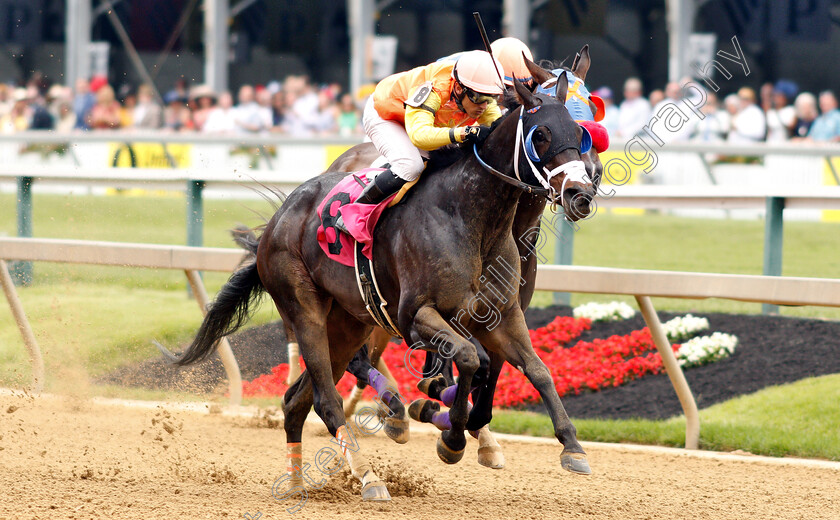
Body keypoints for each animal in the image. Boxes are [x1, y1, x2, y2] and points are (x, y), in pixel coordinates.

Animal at [158, 75, 592, 502]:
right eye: (540, 134)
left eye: (581, 133)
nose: (581, 194)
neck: (469, 218)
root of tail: (279, 219)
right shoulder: (417, 317)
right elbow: (470, 359)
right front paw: (451, 438)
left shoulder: (502, 315)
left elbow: (537, 370)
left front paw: (571, 447)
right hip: (305, 310)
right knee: (326, 399)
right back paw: (368, 476)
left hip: (348, 324)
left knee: (296, 400)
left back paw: (297, 483)